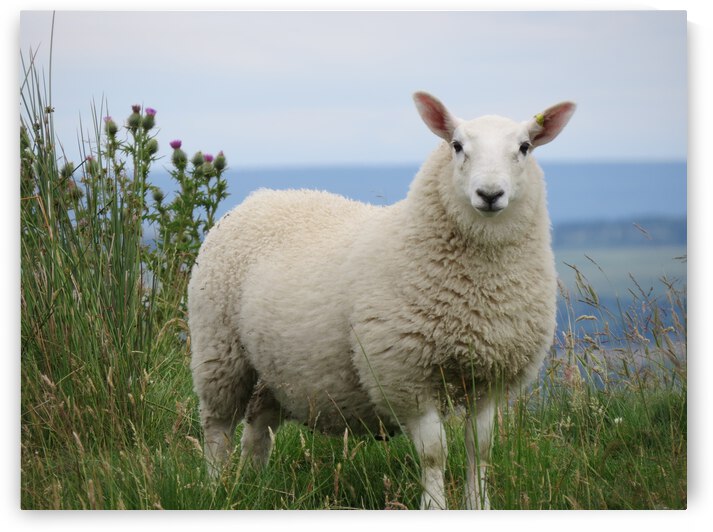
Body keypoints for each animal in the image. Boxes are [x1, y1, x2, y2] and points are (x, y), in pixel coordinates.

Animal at [187, 92, 576, 509]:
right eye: (457, 146)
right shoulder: (404, 373)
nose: (489, 194)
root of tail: (260, 197)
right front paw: (434, 506)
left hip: (275, 366)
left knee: (259, 425)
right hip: (219, 349)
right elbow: (434, 452)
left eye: (524, 147)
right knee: (217, 427)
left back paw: (256, 485)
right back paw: (215, 487)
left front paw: (479, 505)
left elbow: (482, 448)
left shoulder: (491, 377)